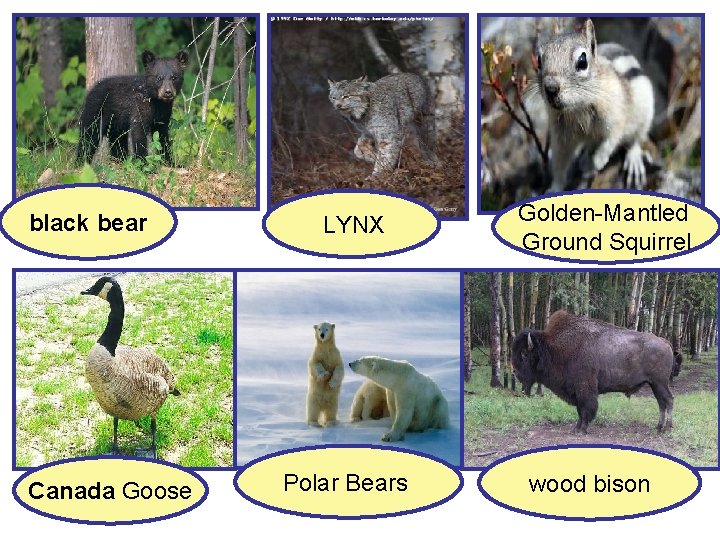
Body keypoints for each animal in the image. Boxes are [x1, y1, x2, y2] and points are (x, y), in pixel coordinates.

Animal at [512, 310, 675, 434]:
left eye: (524, 354)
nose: (515, 373)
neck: (553, 348)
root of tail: (665, 342)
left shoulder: (585, 389)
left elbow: (586, 409)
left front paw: (581, 430)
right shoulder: (576, 391)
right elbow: (580, 409)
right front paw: (576, 428)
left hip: (660, 383)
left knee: (668, 400)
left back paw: (667, 428)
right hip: (654, 384)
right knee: (661, 403)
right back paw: (658, 427)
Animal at [532, 19, 654, 192]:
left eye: (582, 61)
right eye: (539, 60)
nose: (550, 88)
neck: (578, 108)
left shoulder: (615, 119)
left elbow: (608, 143)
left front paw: (593, 164)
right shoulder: (561, 137)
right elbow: (560, 165)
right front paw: (555, 188)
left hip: (644, 116)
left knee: (636, 139)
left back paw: (633, 161)